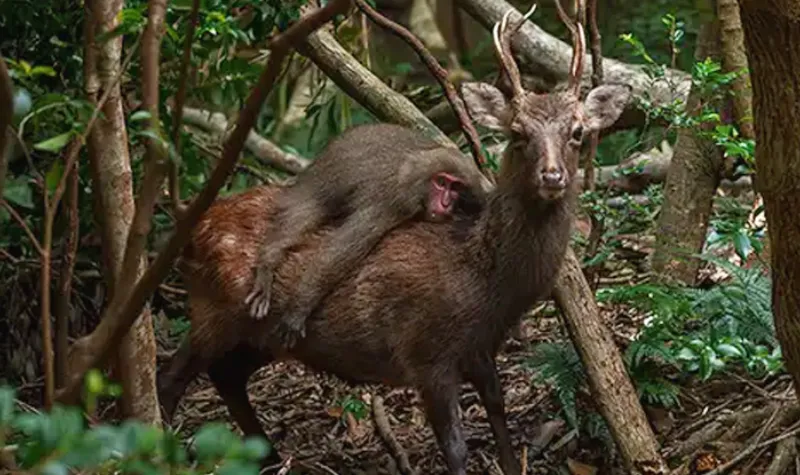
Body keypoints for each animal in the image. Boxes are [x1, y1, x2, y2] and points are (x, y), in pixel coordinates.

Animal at [244, 122, 491, 348]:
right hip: (320, 180)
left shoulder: (477, 193)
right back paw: (269, 258)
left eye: (455, 187)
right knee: (304, 212)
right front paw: (298, 307)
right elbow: (340, 253)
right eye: (441, 182)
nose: (445, 203)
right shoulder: (394, 200)